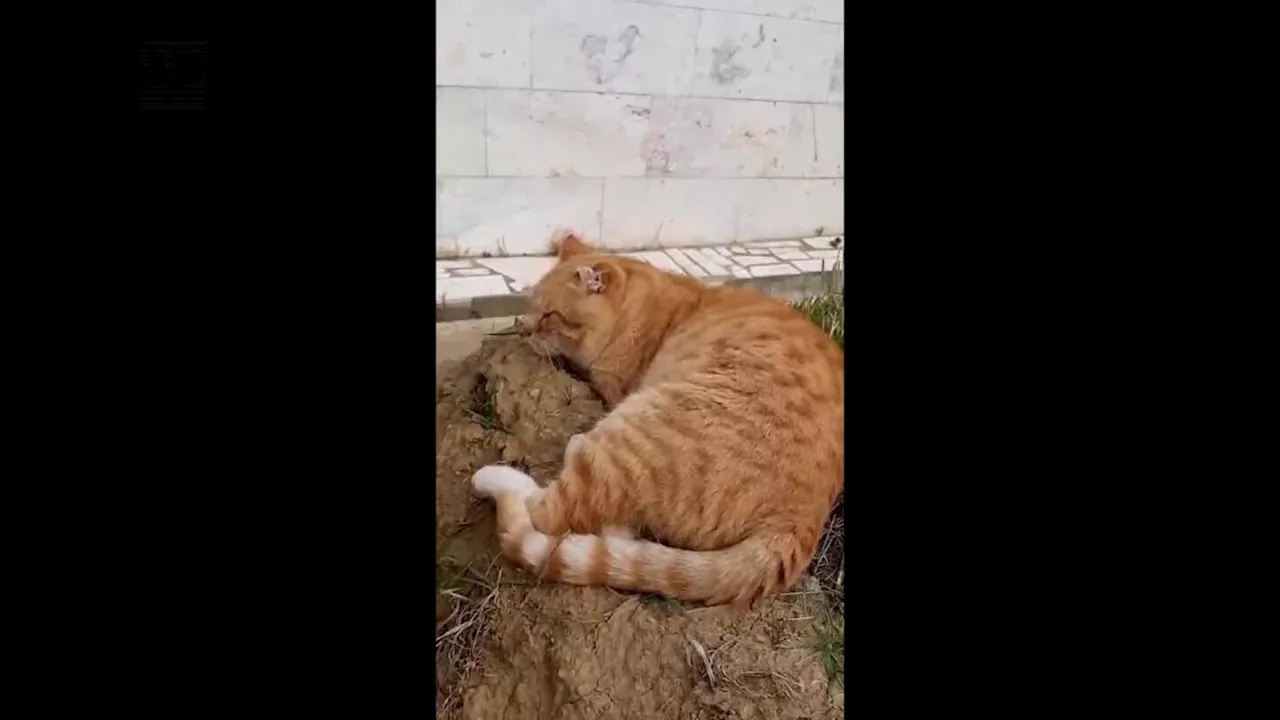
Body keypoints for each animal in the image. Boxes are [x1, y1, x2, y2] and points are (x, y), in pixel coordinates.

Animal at [476, 233, 844, 602]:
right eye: (532, 307)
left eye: (550, 315)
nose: (525, 330)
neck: (644, 303)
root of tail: (799, 520)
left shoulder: (610, 386)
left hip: (633, 435)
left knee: (548, 512)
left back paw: (503, 474)